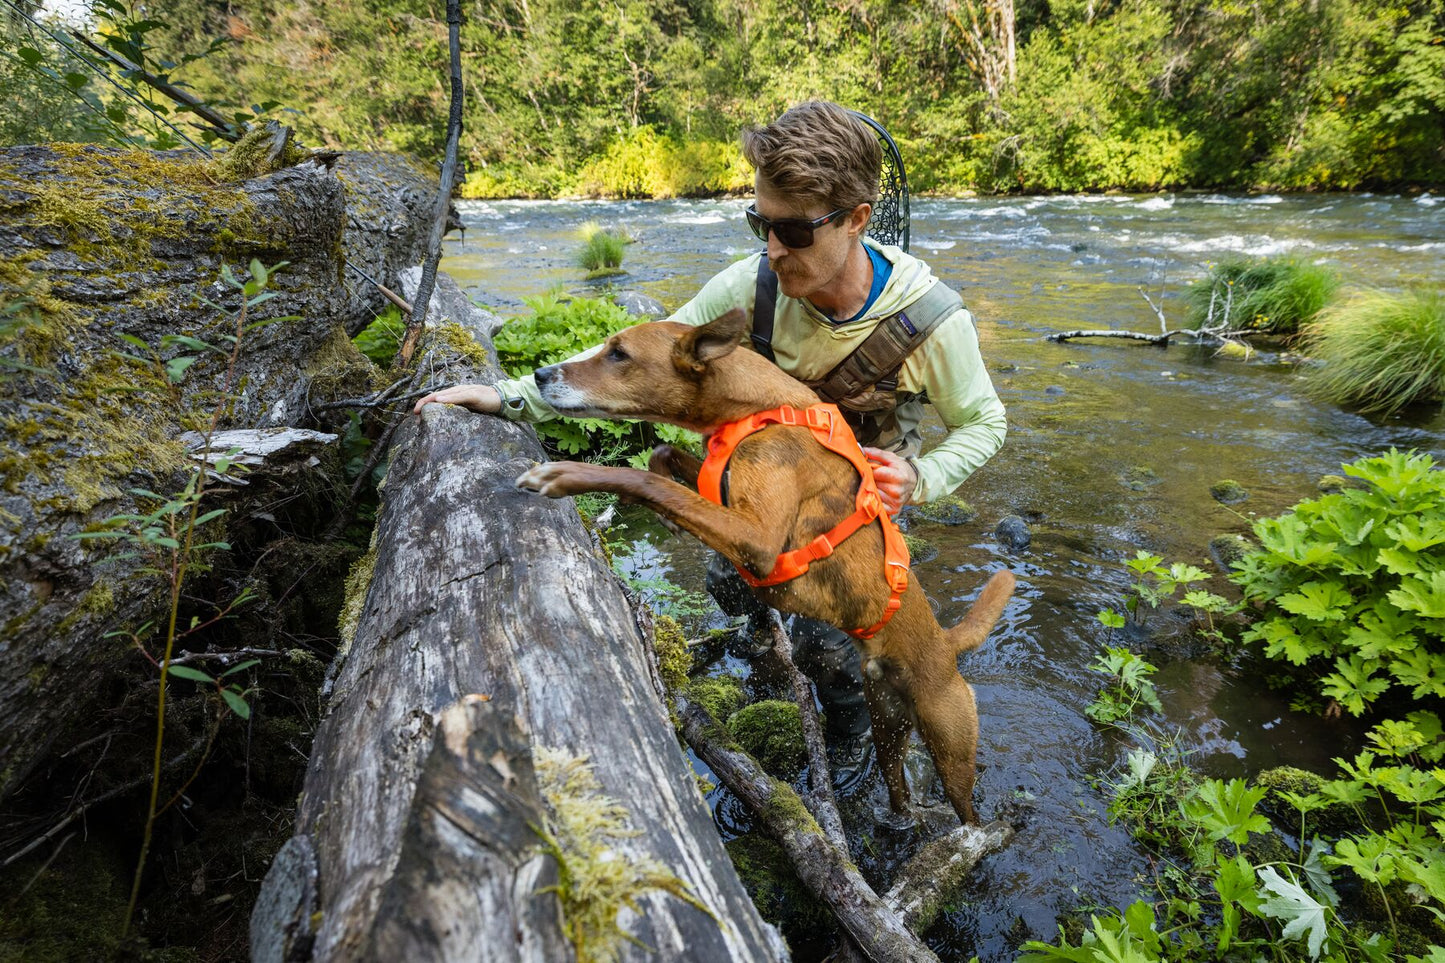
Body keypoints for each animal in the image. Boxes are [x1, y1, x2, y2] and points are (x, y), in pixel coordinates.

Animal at [520, 309, 1017, 827]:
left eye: (618, 353)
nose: (539, 375)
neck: (756, 410)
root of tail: (946, 644)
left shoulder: (757, 540)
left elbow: (642, 479)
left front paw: (568, 475)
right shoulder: (723, 492)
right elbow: (663, 459)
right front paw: (661, 497)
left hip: (951, 745)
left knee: (967, 809)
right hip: (887, 727)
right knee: (896, 784)